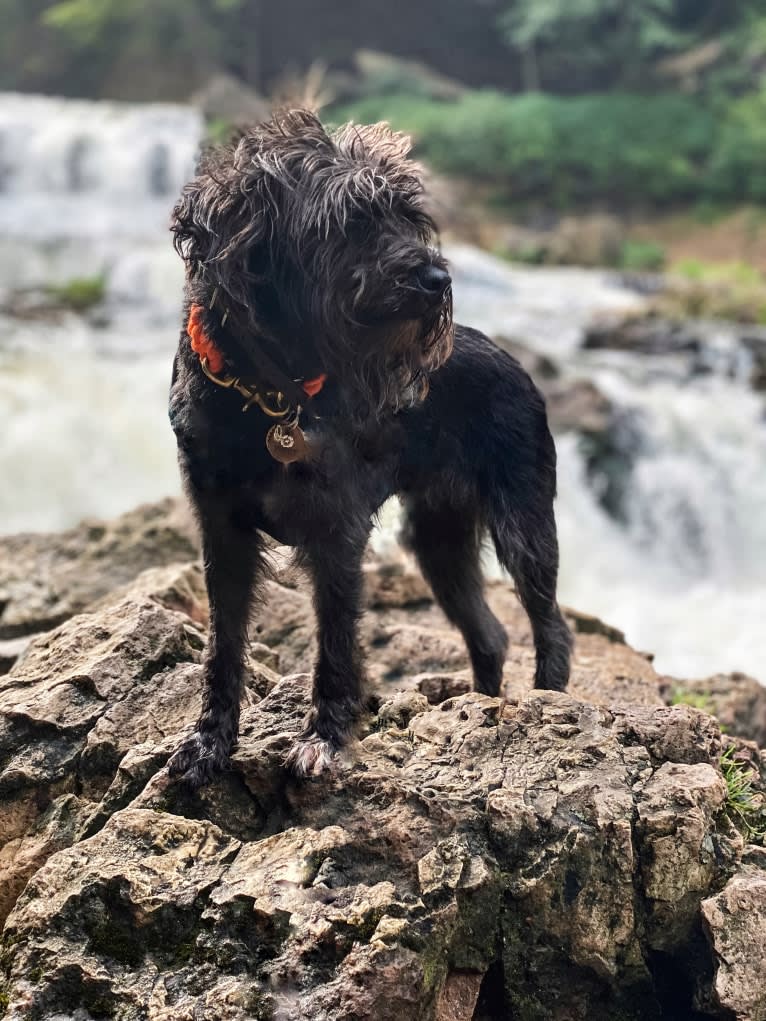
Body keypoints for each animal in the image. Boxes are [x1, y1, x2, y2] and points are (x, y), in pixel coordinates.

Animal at [169, 109, 576, 780]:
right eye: (348, 222)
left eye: (409, 217)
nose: (438, 278)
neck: (267, 395)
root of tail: (511, 358)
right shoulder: (222, 532)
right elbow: (223, 645)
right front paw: (209, 741)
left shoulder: (337, 532)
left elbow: (336, 642)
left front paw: (326, 739)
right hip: (438, 541)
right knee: (490, 635)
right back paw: (481, 709)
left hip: (524, 527)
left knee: (552, 626)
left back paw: (546, 702)